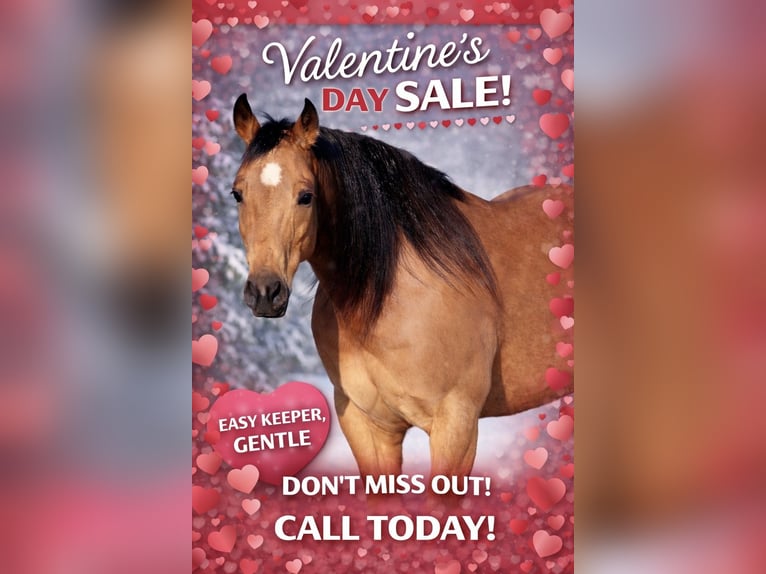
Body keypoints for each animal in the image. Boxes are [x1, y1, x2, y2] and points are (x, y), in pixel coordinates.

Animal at [230, 94, 574, 482]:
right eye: (237, 193)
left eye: (306, 196)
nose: (265, 292)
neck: (388, 298)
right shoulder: (367, 425)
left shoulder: (455, 424)